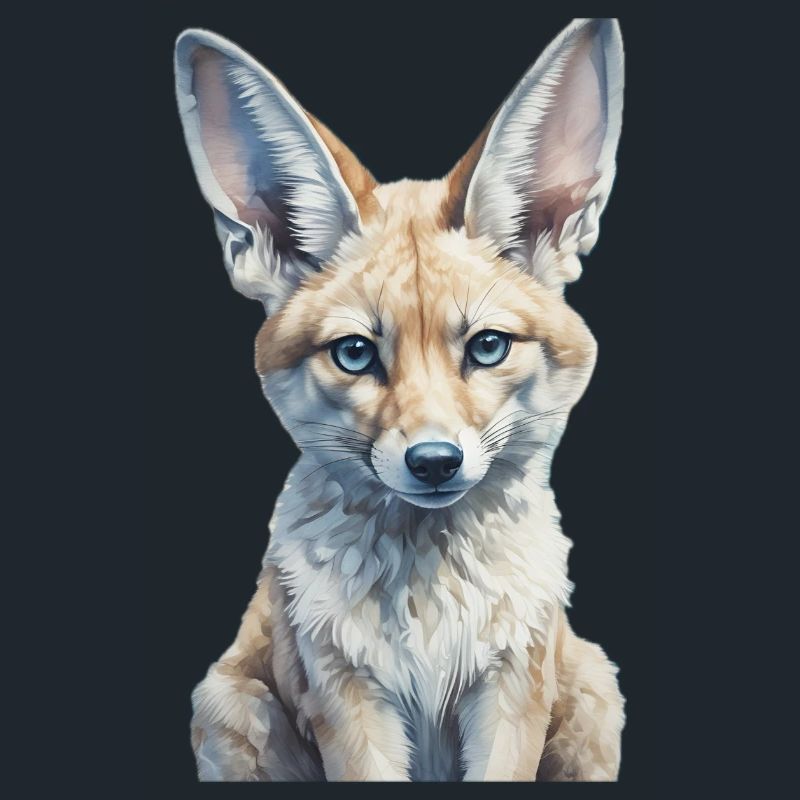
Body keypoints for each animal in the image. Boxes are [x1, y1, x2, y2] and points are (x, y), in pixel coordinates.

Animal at [175, 17, 625, 781]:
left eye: (487, 347)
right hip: (227, 706)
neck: (431, 608)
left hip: (595, 692)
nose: (435, 461)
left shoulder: (512, 689)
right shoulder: (347, 698)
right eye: (356, 353)